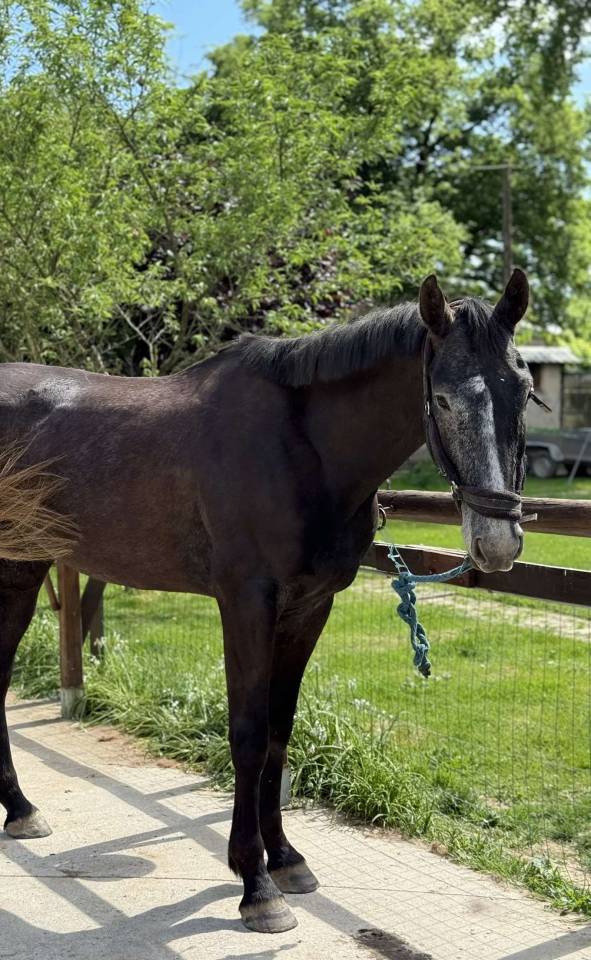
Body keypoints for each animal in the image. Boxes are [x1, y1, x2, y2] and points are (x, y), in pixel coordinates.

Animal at [0, 270, 533, 933]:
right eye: (443, 400)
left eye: (525, 391)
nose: (497, 542)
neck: (300, 449)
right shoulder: (246, 605)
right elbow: (250, 735)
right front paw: (255, 884)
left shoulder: (308, 608)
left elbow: (280, 729)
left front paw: (285, 858)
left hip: (21, 568)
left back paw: (20, 809)